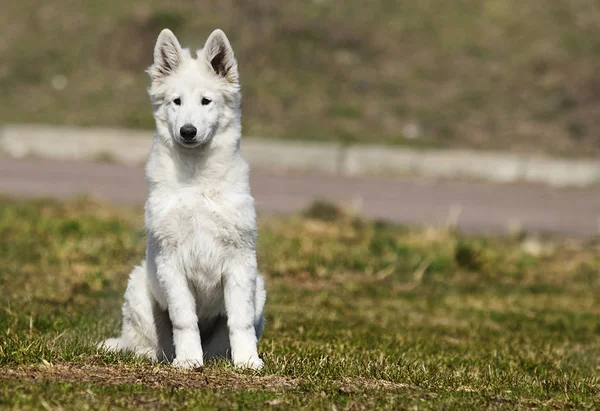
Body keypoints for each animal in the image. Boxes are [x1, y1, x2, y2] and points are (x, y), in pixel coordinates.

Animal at [102, 28, 266, 370]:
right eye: (176, 101)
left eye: (206, 101)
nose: (187, 131)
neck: (195, 179)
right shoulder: (170, 262)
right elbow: (184, 319)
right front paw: (189, 361)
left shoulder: (241, 261)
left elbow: (239, 321)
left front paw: (248, 362)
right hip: (140, 288)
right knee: (150, 345)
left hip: (260, 289)